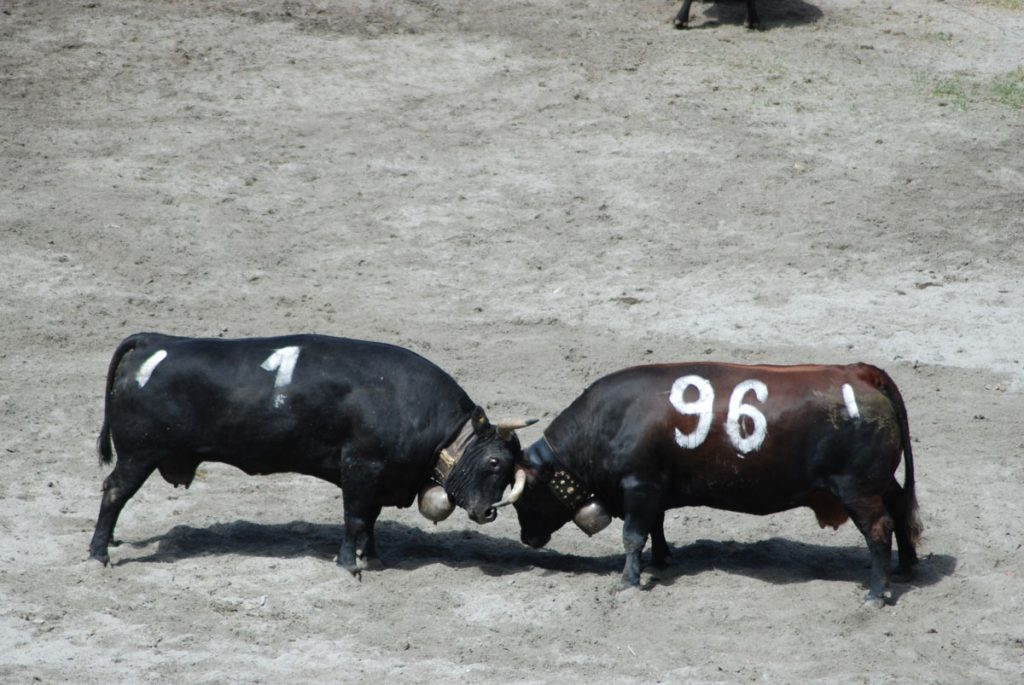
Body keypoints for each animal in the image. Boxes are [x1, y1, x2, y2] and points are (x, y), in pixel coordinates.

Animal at [89, 332, 534, 576]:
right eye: (494, 462)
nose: (488, 512)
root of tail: (156, 341)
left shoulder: (378, 478)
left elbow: (369, 521)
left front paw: (372, 558)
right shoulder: (361, 468)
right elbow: (356, 518)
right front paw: (350, 563)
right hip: (139, 454)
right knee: (114, 492)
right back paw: (99, 553)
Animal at [513, 362, 922, 606]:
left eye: (524, 496)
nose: (526, 539)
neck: (606, 422)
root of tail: (859, 372)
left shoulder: (639, 484)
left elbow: (633, 535)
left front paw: (629, 580)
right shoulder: (654, 489)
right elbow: (656, 526)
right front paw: (661, 559)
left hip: (858, 489)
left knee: (879, 528)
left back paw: (876, 592)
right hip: (879, 483)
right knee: (901, 507)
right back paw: (905, 567)